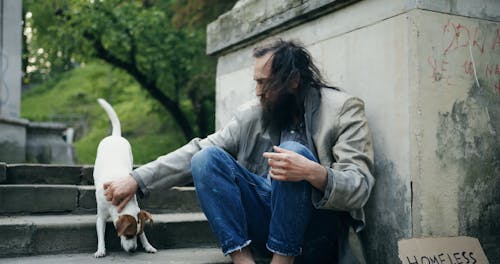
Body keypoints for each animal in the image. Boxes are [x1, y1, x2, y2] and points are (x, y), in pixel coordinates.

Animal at [93, 98, 156, 256]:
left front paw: (148, 245)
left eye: (137, 234)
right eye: (128, 235)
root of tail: (115, 136)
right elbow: (100, 233)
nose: (133, 250)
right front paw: (100, 250)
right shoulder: (101, 216)